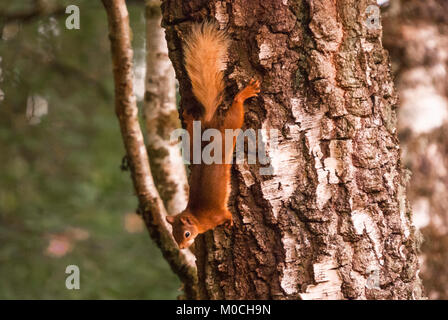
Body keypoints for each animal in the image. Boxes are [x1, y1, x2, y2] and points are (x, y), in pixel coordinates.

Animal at [166, 22, 260, 249]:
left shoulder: (216, 215)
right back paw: (189, 118)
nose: (182, 248)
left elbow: (225, 216)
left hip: (230, 127)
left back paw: (244, 94)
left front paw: (230, 222)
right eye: (173, 234)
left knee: (235, 110)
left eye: (186, 234)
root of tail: (210, 127)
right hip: (195, 142)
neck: (198, 217)